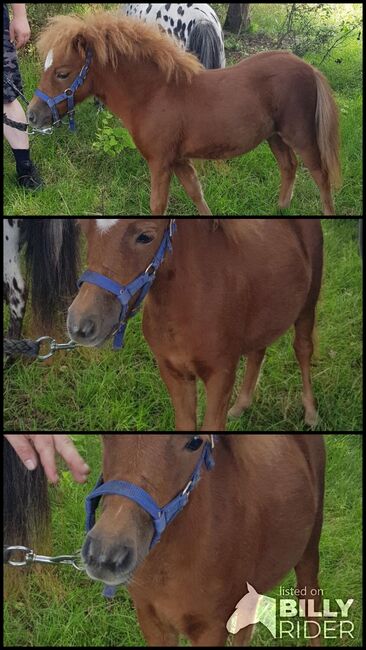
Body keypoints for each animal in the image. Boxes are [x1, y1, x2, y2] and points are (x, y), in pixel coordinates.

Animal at [27, 12, 340, 215]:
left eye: (62, 73)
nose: (32, 115)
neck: (154, 93)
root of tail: (307, 67)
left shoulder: (160, 162)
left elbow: (158, 205)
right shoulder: (178, 160)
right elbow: (196, 194)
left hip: (301, 136)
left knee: (320, 173)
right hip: (275, 136)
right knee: (289, 167)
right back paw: (280, 210)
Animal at [66, 218, 324, 430]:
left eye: (145, 236)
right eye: (84, 230)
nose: (80, 324)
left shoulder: (221, 375)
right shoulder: (174, 373)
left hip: (307, 306)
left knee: (303, 349)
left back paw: (311, 412)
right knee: (257, 352)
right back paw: (241, 406)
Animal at [83, 432, 326, 644]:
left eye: (194, 443)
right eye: (106, 436)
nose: (106, 553)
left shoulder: (211, 628)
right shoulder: (150, 619)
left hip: (309, 552)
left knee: (311, 604)